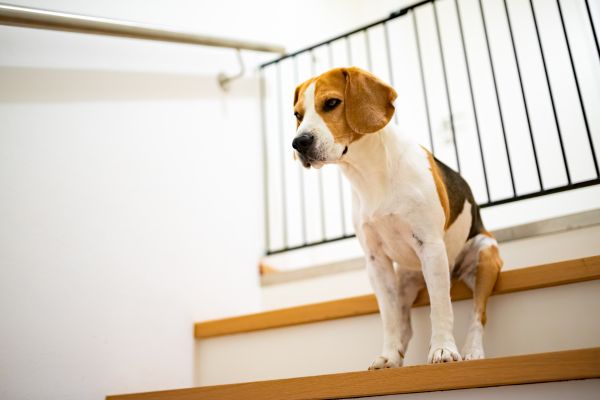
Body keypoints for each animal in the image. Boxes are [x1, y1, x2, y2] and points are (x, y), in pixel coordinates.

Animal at [290, 67, 502, 368]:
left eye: (331, 103)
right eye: (297, 114)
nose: (299, 143)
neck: (369, 173)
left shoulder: (431, 246)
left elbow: (441, 307)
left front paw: (443, 349)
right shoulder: (376, 262)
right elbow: (389, 319)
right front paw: (389, 356)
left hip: (485, 254)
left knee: (478, 313)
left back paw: (472, 351)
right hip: (404, 281)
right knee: (405, 326)